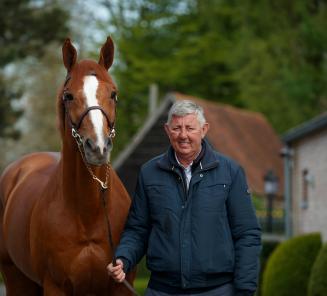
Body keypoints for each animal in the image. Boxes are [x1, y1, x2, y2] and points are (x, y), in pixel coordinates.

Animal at [0, 38, 136, 294]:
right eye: (69, 96)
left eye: (113, 94)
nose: (98, 147)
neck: (88, 213)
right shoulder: (55, 286)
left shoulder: (121, 286)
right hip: (15, 278)